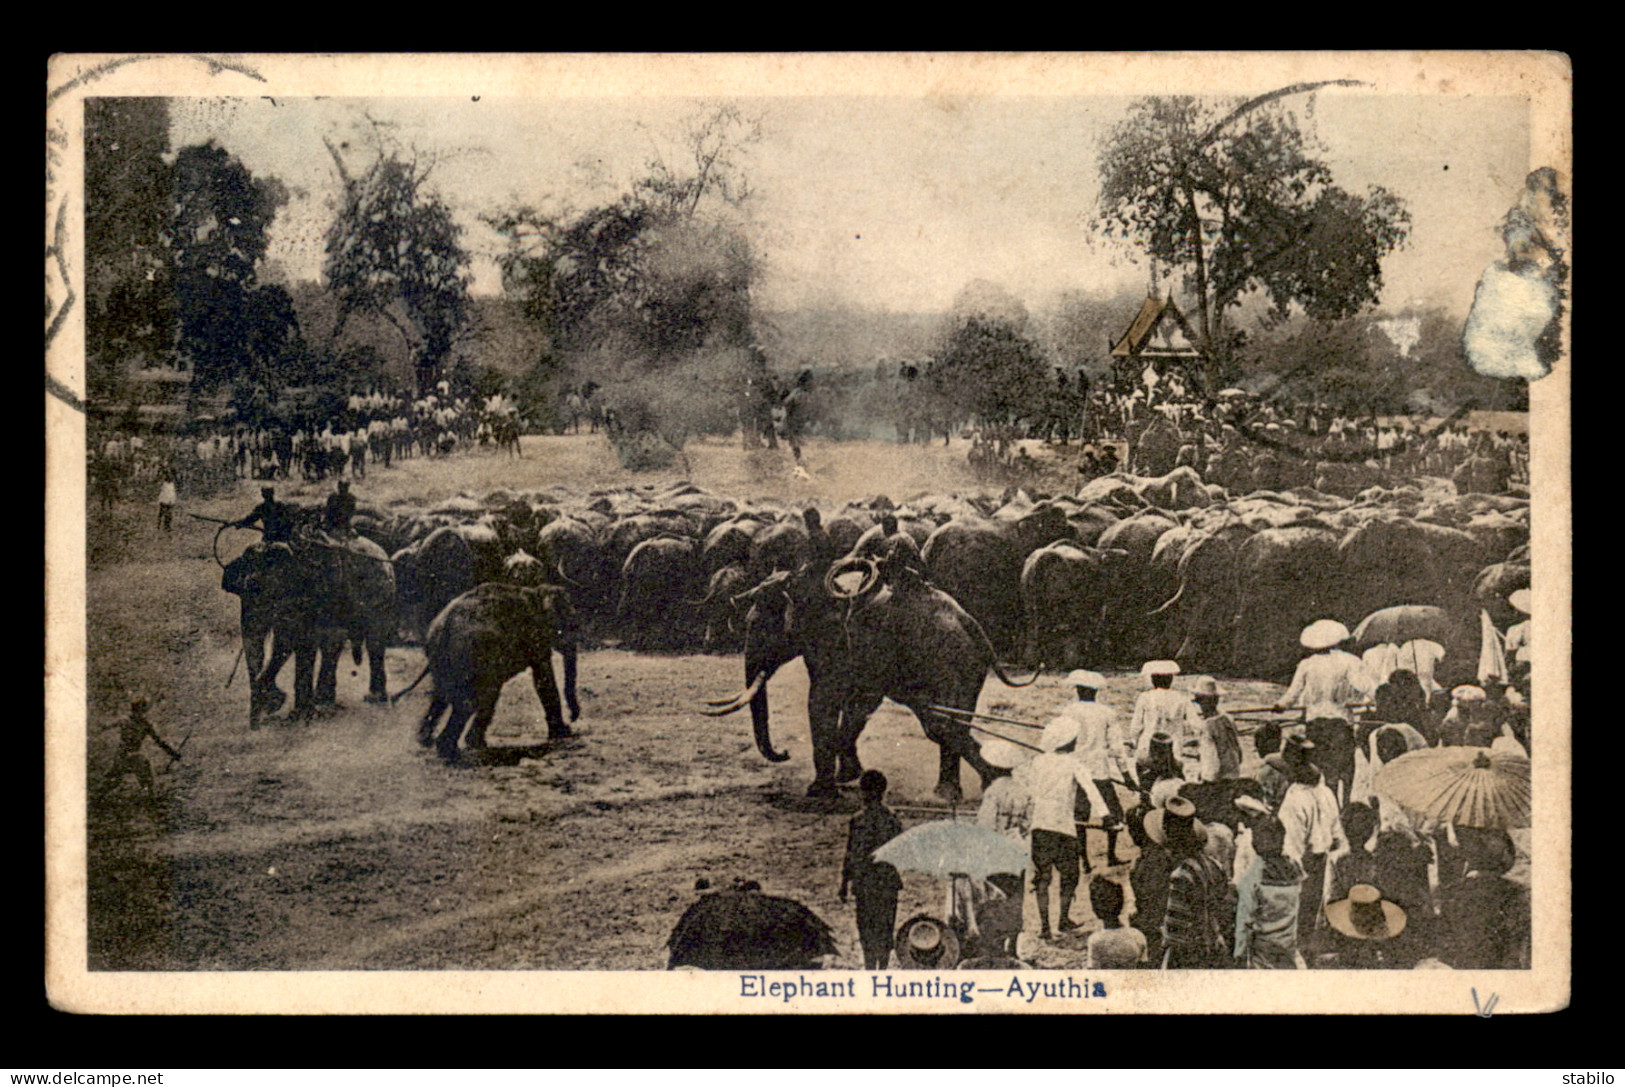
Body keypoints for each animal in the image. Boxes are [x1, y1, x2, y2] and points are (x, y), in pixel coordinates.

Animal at [222, 532, 396, 724]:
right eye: (242, 593)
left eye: (270, 594)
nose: (255, 725)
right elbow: (286, 641)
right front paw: (278, 704)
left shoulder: (314, 596)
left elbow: (296, 641)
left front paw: (297, 714)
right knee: (332, 646)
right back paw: (324, 702)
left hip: (382, 594)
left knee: (374, 641)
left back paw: (374, 698)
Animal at [396, 581, 581, 760]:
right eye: (572, 626)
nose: (574, 716)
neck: (538, 592)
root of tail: (443, 627)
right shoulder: (536, 636)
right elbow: (544, 681)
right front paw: (564, 734)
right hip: (471, 652)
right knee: (471, 700)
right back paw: (451, 751)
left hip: (444, 658)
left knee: (443, 694)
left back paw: (430, 741)